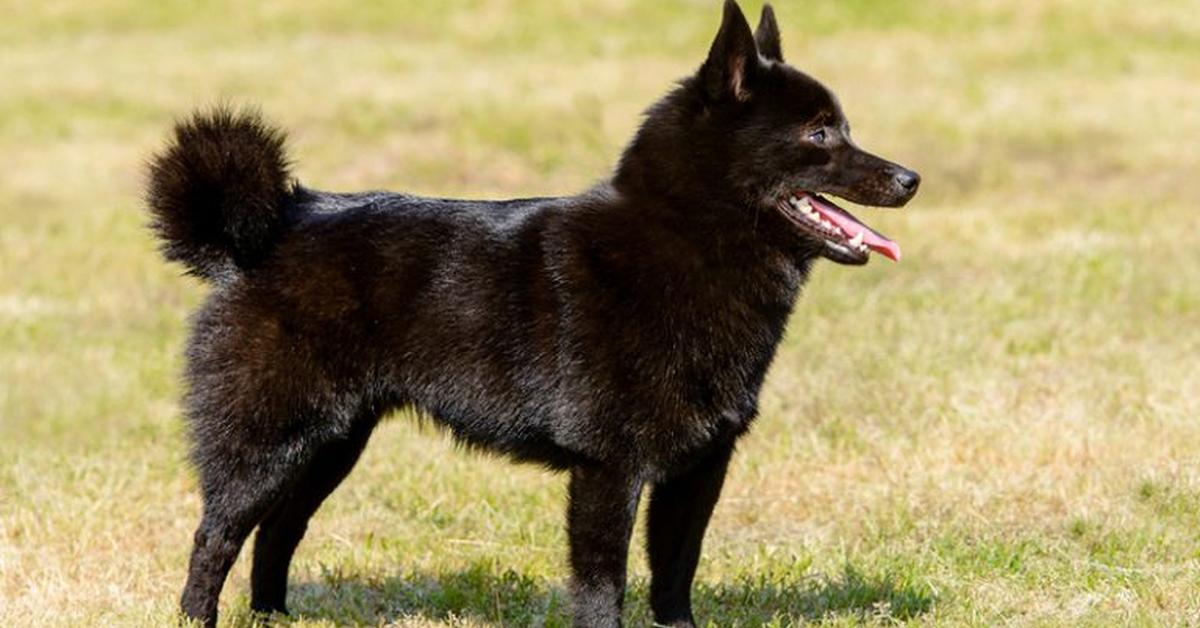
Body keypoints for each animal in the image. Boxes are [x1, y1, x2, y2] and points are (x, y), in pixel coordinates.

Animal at [150, 2, 916, 624]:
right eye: (819, 134)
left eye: (842, 128)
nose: (910, 178)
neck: (682, 243)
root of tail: (264, 230)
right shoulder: (608, 466)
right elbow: (604, 588)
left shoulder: (699, 468)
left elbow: (676, 575)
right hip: (270, 441)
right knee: (216, 536)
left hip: (332, 443)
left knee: (278, 532)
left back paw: (273, 618)